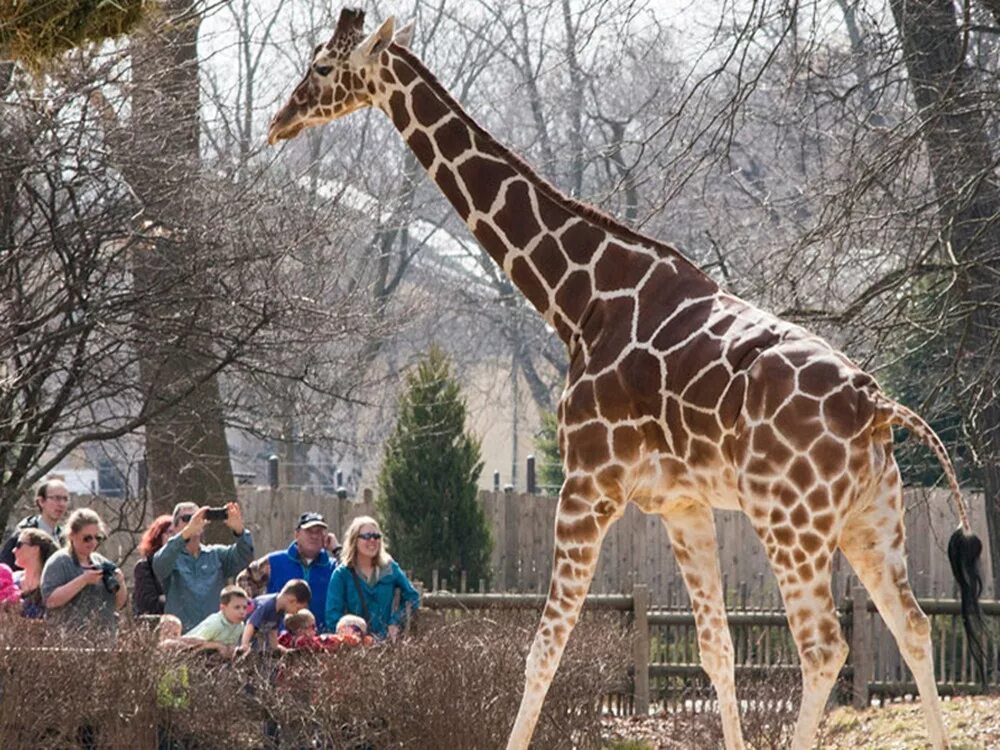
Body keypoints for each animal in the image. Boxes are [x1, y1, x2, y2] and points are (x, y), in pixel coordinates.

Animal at [266, 8, 984, 748]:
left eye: (323, 67)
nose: (278, 121)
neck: (578, 299)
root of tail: (877, 404)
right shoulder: (681, 505)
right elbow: (716, 651)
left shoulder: (586, 484)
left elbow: (544, 647)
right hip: (871, 518)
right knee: (913, 627)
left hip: (792, 520)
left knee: (823, 647)